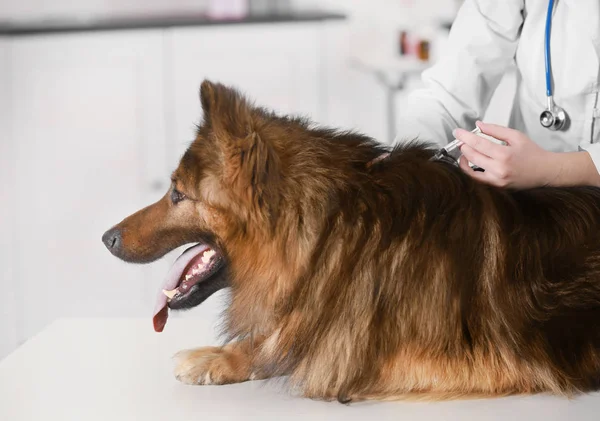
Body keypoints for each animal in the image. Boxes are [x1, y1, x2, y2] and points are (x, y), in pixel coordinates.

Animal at [104, 79, 600, 400]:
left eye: (178, 194)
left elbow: (300, 345)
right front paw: (219, 356)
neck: (333, 227)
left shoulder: (456, 363)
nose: (106, 238)